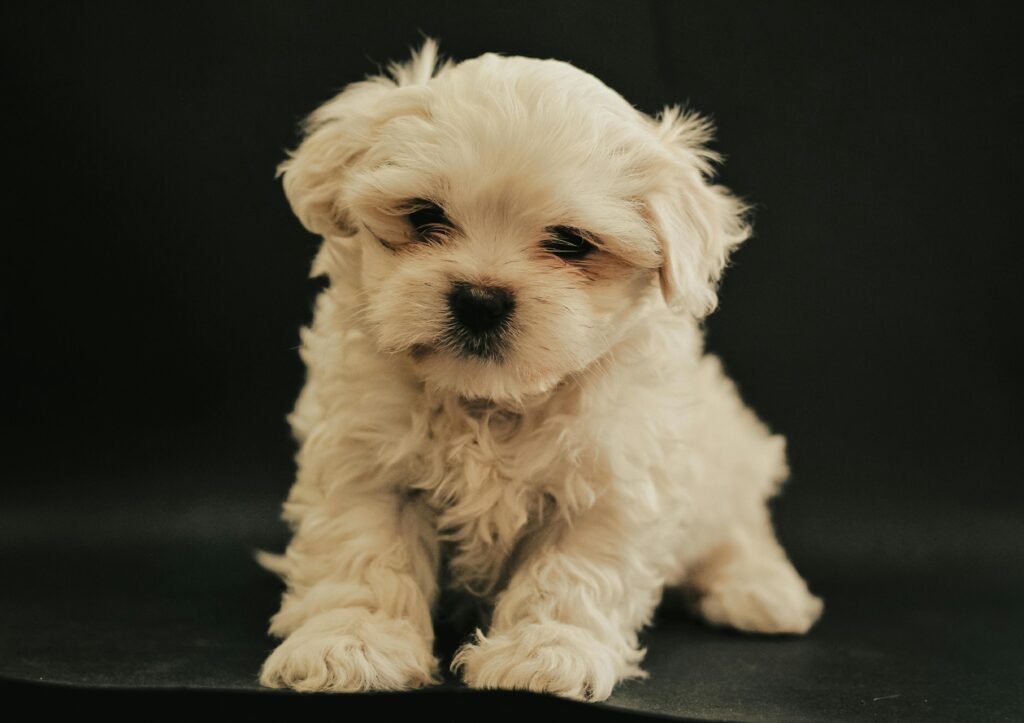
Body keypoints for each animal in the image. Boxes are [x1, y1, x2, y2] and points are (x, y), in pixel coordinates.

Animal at [258, 39, 823, 696]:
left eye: (571, 243)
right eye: (425, 216)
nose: (480, 299)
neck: (491, 402)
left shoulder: (612, 480)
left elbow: (573, 573)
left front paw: (545, 652)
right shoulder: (366, 462)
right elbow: (364, 553)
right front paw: (352, 643)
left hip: (730, 455)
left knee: (738, 528)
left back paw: (761, 591)